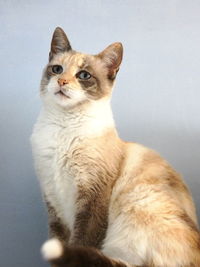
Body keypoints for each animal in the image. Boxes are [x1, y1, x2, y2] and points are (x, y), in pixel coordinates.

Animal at [31, 27, 200, 267]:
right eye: (57, 69)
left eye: (84, 75)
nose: (62, 81)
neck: (62, 129)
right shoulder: (53, 201)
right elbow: (60, 242)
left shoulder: (92, 198)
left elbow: (81, 243)